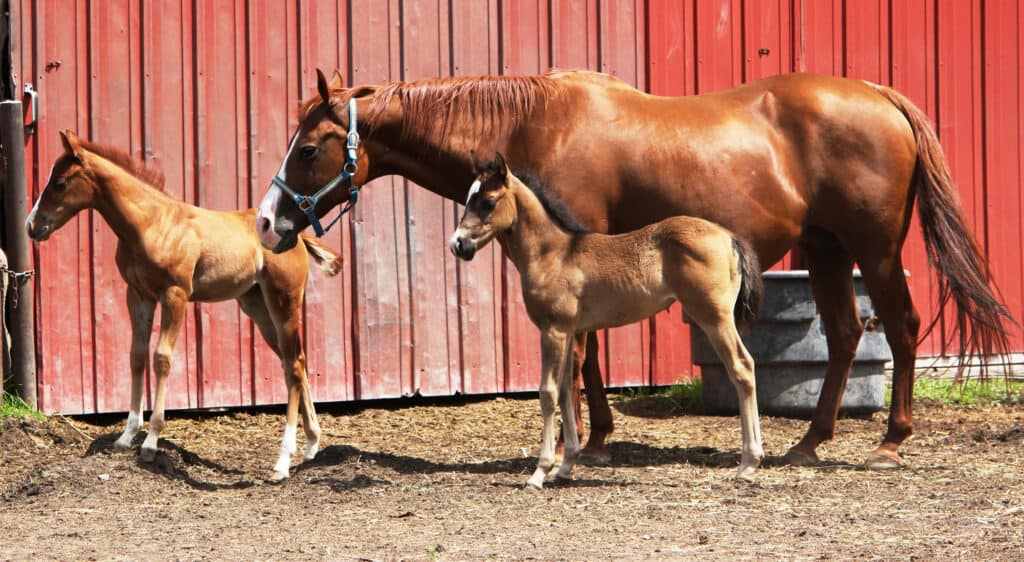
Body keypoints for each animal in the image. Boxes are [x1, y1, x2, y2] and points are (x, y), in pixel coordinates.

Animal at [27, 130, 343, 481]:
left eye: (59, 183)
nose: (32, 226)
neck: (150, 224)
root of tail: (298, 238)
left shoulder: (175, 293)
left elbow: (162, 358)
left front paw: (151, 442)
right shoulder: (138, 294)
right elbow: (137, 356)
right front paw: (126, 436)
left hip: (283, 299)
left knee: (294, 364)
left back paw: (283, 461)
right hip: (257, 305)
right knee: (295, 360)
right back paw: (312, 444)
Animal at [450, 151, 764, 488]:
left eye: (488, 202)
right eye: (468, 197)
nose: (458, 244)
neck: (554, 254)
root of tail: (729, 237)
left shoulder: (553, 330)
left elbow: (548, 392)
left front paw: (540, 471)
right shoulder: (569, 330)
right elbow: (567, 391)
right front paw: (566, 465)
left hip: (714, 317)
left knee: (742, 368)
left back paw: (748, 464)